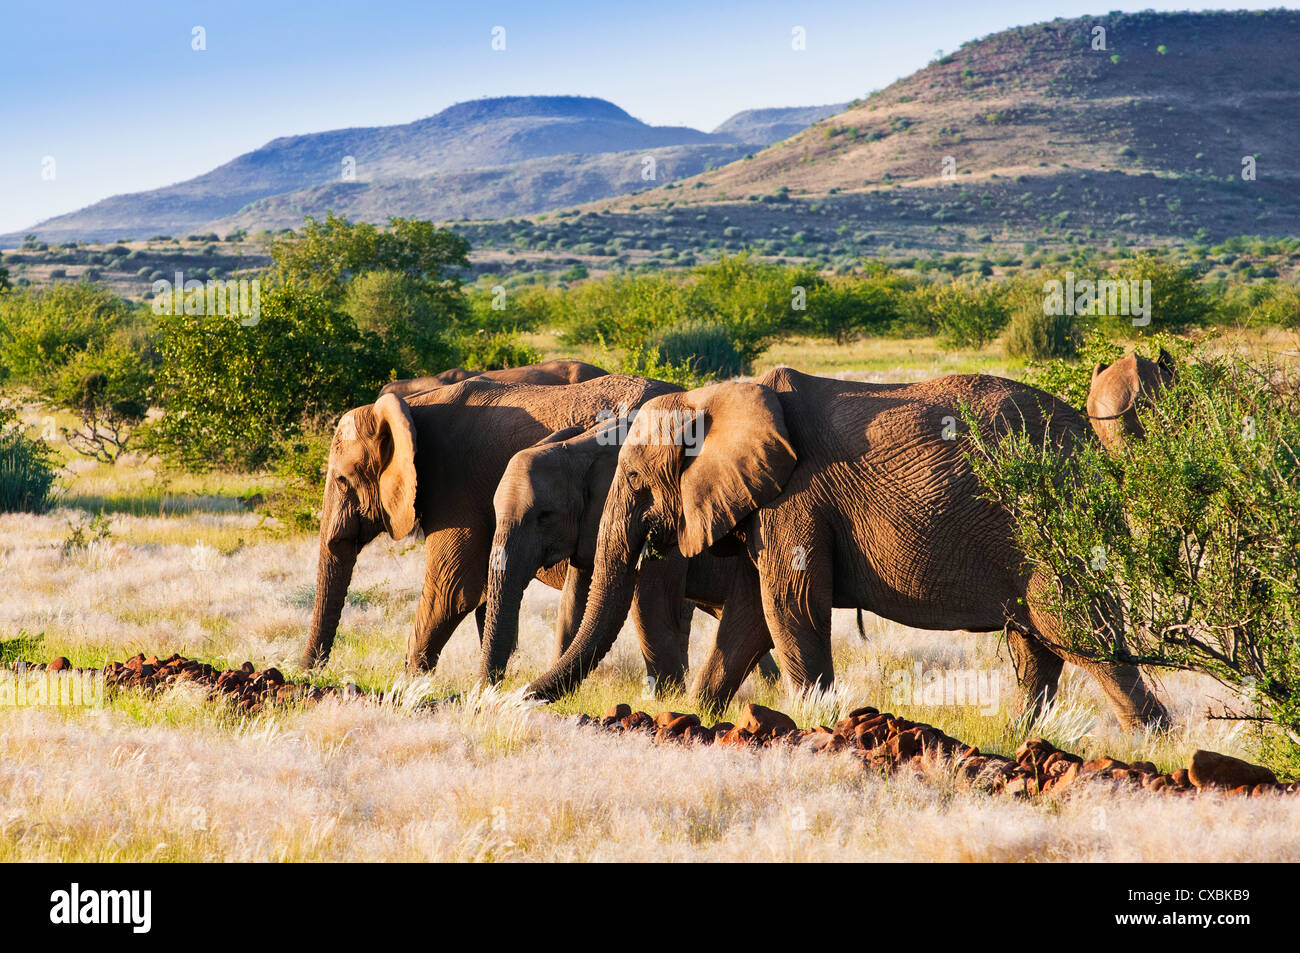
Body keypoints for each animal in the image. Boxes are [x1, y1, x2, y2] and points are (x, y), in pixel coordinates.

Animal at [297, 369, 681, 670]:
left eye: (342, 480)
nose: (308, 674)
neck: (411, 408)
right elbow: (482, 591)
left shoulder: (456, 487)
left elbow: (454, 589)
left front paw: (410, 685)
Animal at [480, 416, 774, 691]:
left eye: (545, 516)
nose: (513, 689)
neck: (579, 450)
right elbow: (572, 605)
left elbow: (650, 604)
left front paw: (669, 698)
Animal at [527, 366, 1170, 728]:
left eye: (636, 480)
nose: (518, 697)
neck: (713, 398)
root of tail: (1094, 446)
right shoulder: (770, 502)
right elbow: (750, 617)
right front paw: (698, 717)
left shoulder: (797, 497)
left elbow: (789, 610)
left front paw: (819, 724)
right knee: (1036, 646)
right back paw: (1019, 738)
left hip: (1049, 522)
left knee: (1073, 628)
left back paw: (1153, 739)